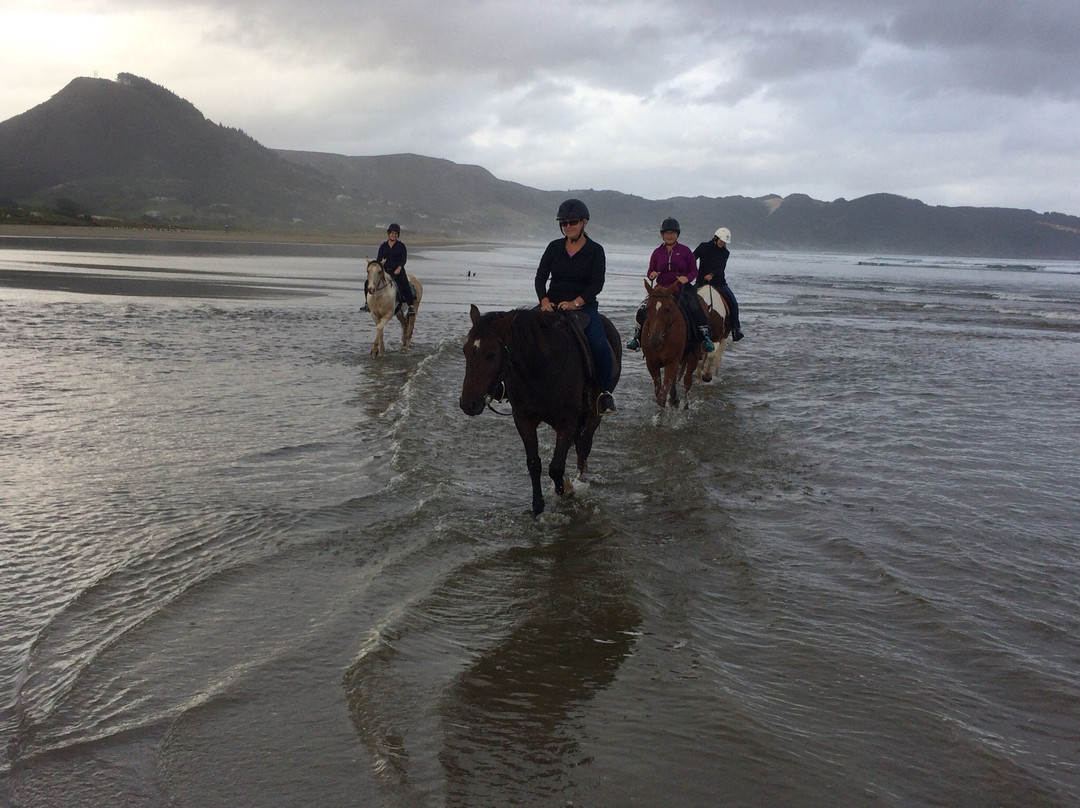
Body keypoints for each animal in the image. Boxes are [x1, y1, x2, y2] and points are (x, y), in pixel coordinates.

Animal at [457, 302, 626, 518]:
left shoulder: (567, 422)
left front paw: (567, 491)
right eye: (465, 351)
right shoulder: (524, 420)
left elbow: (556, 467)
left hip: (595, 412)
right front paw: (537, 506)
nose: (468, 404)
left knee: (585, 443)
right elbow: (534, 464)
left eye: (491, 354)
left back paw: (579, 480)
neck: (541, 368)